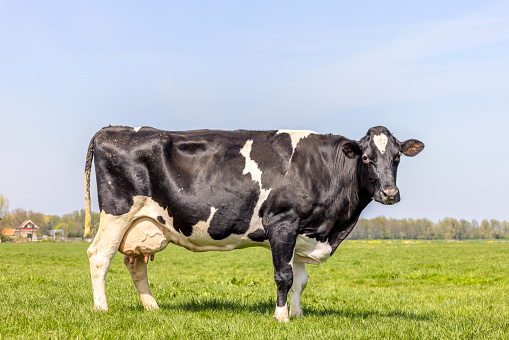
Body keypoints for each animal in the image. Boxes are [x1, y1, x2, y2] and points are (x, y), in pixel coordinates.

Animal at [85, 125, 422, 322]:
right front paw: (281, 317)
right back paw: (101, 309)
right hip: (117, 213)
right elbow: (284, 276)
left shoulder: (302, 231)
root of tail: (113, 129)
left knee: (134, 263)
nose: (390, 193)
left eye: (397, 158)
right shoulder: (282, 222)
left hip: (144, 223)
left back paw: (152, 307)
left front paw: (298, 315)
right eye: (365, 158)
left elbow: (301, 280)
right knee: (99, 256)